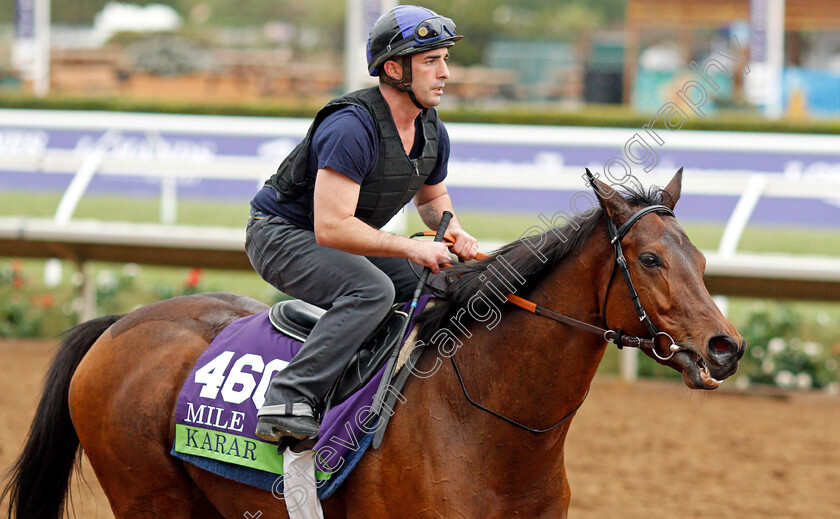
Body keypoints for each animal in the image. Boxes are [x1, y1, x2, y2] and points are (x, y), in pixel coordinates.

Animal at [3, 172, 744, 519]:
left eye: (702, 258)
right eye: (650, 258)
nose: (725, 345)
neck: (487, 424)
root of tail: (121, 323)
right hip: (147, 493)